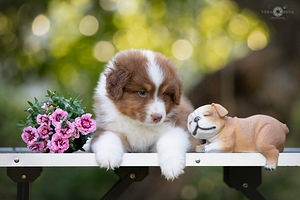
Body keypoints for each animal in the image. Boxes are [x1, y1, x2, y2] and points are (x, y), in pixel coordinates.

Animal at [91, 48, 199, 180]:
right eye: (142, 92)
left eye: (164, 94)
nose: (158, 117)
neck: (139, 123)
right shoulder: (108, 126)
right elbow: (108, 136)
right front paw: (109, 157)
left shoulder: (180, 127)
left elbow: (170, 140)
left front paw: (172, 166)